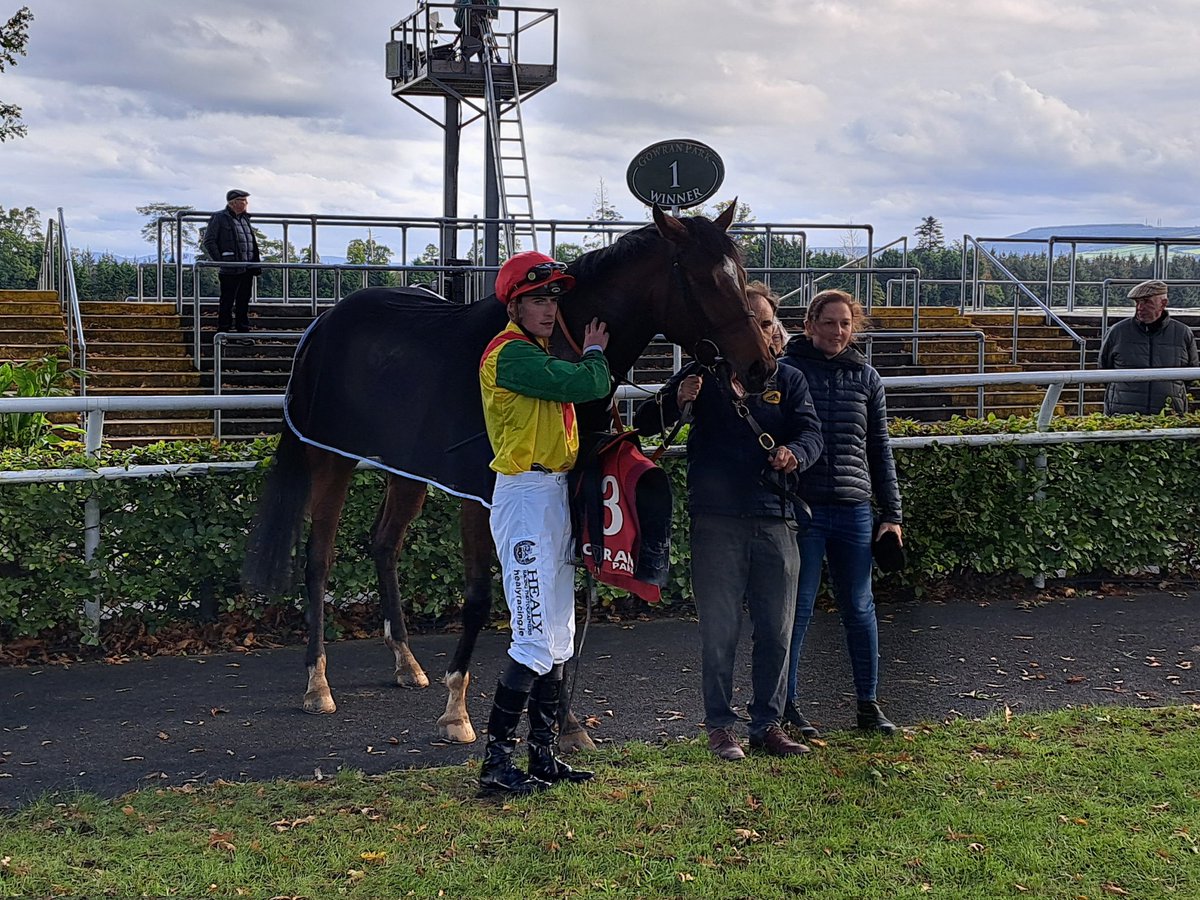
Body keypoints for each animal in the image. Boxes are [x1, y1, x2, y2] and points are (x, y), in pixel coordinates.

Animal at [241, 206, 777, 753]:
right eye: (707, 279)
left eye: (742, 273)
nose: (761, 366)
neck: (555, 345)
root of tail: (324, 322)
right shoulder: (482, 497)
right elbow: (479, 596)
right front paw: (456, 710)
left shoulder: (566, 488)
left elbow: (563, 598)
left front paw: (567, 722)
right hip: (330, 457)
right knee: (319, 558)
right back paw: (317, 682)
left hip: (405, 467)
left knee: (384, 543)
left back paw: (406, 662)